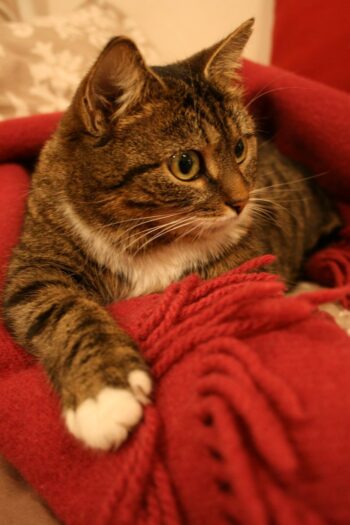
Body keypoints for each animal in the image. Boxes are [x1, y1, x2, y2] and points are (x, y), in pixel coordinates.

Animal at [2, 18, 342, 448]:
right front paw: (105, 395)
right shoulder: (36, 265)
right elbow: (66, 311)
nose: (242, 201)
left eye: (240, 147)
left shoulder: (244, 269)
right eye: (185, 165)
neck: (148, 236)